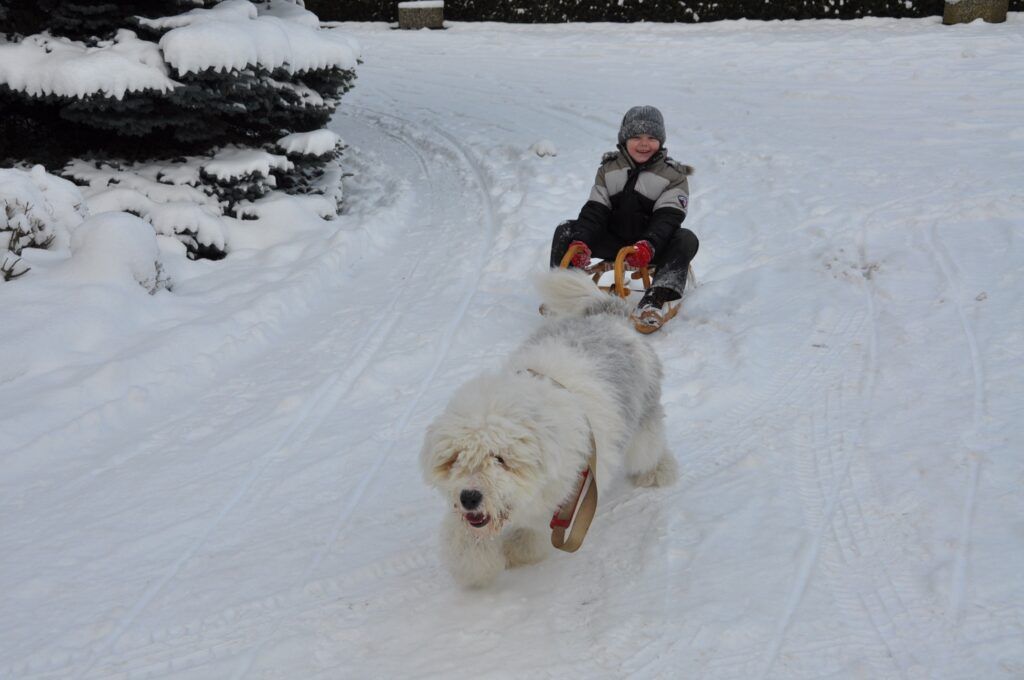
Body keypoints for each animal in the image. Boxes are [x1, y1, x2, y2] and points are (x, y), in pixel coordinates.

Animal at [419, 268, 675, 585]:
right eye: (455, 459)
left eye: (499, 459)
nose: (469, 497)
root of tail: (608, 316)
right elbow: (465, 539)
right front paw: (476, 566)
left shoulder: (567, 492)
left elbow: (532, 530)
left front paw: (518, 551)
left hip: (642, 424)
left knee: (649, 450)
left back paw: (658, 472)